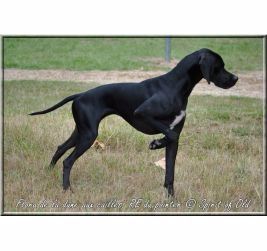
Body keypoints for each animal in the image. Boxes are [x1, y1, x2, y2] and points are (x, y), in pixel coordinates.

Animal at [29, 48, 239, 196]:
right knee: (68, 161)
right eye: (219, 66)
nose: (236, 78)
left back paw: (48, 173)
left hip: (81, 132)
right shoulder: (143, 114)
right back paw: (66, 189)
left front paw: (170, 198)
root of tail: (80, 95)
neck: (175, 86)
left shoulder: (175, 138)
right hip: (88, 136)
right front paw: (156, 143)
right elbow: (168, 134)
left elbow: (170, 171)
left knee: (60, 148)